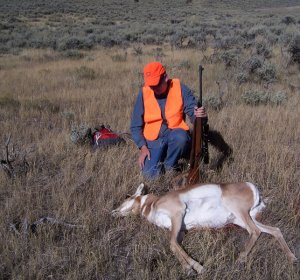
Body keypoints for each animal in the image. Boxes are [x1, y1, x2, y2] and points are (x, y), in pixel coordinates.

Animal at [112, 182, 298, 274]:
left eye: (127, 197)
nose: (113, 212)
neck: (152, 204)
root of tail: (252, 187)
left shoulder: (178, 213)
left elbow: (172, 244)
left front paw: (196, 268)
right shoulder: (180, 229)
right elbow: (175, 245)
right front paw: (190, 268)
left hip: (240, 213)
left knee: (256, 231)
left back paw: (240, 259)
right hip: (242, 219)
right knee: (274, 230)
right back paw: (293, 259)